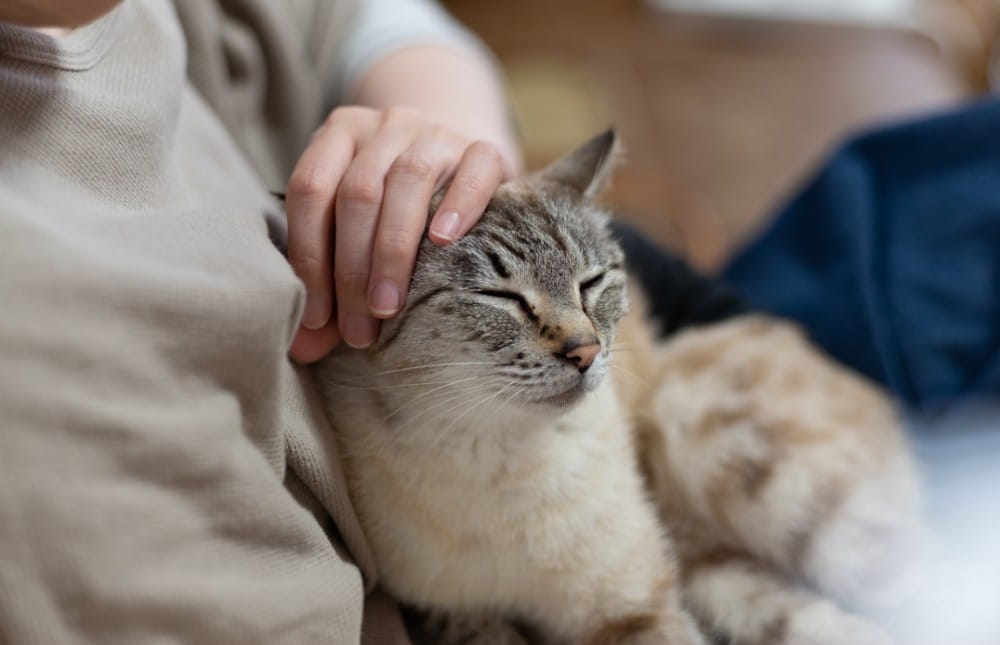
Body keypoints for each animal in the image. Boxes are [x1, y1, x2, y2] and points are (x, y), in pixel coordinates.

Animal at [316, 131, 924, 644]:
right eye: (500, 297)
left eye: (591, 283)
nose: (585, 352)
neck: (497, 452)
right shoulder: (449, 615)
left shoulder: (633, 610)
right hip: (716, 568)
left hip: (723, 448)